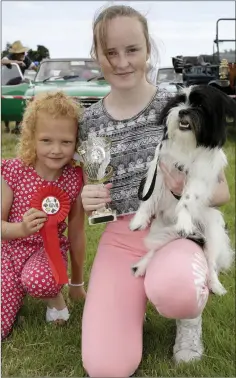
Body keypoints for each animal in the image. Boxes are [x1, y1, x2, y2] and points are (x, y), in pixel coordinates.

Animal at [130, 85, 235, 296]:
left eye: (200, 106)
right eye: (179, 102)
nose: (182, 111)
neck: (188, 145)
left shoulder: (199, 175)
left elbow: (187, 198)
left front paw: (185, 222)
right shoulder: (160, 169)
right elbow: (149, 197)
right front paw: (139, 219)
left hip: (212, 230)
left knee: (210, 261)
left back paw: (215, 285)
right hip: (160, 227)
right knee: (157, 247)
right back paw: (142, 265)